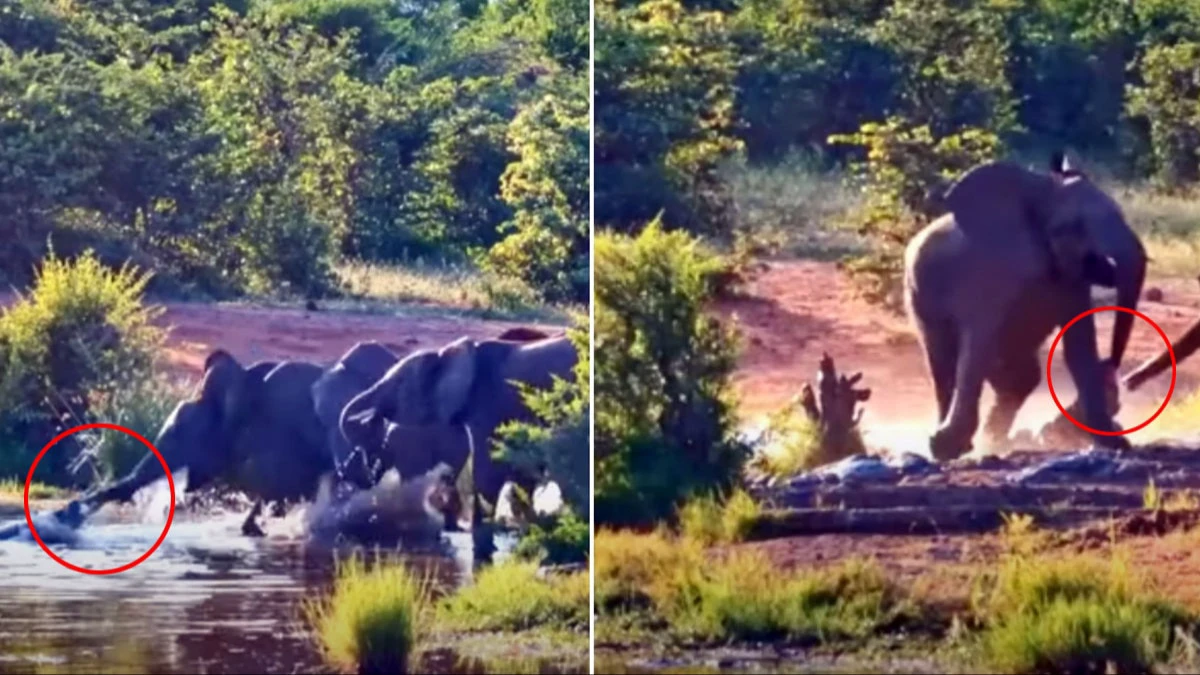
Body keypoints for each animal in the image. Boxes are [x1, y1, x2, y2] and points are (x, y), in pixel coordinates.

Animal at [338, 331, 580, 530]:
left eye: (398, 385)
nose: (372, 419)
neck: (445, 354)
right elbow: (520, 473)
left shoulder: (486, 405)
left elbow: (488, 475)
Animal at [902, 153, 1147, 458]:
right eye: (1070, 227)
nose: (1112, 367)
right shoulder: (989, 272)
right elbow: (976, 347)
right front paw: (949, 447)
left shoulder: (1071, 279)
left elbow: (1079, 348)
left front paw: (1116, 443)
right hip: (916, 295)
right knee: (944, 362)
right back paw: (952, 444)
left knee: (1021, 377)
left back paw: (997, 441)